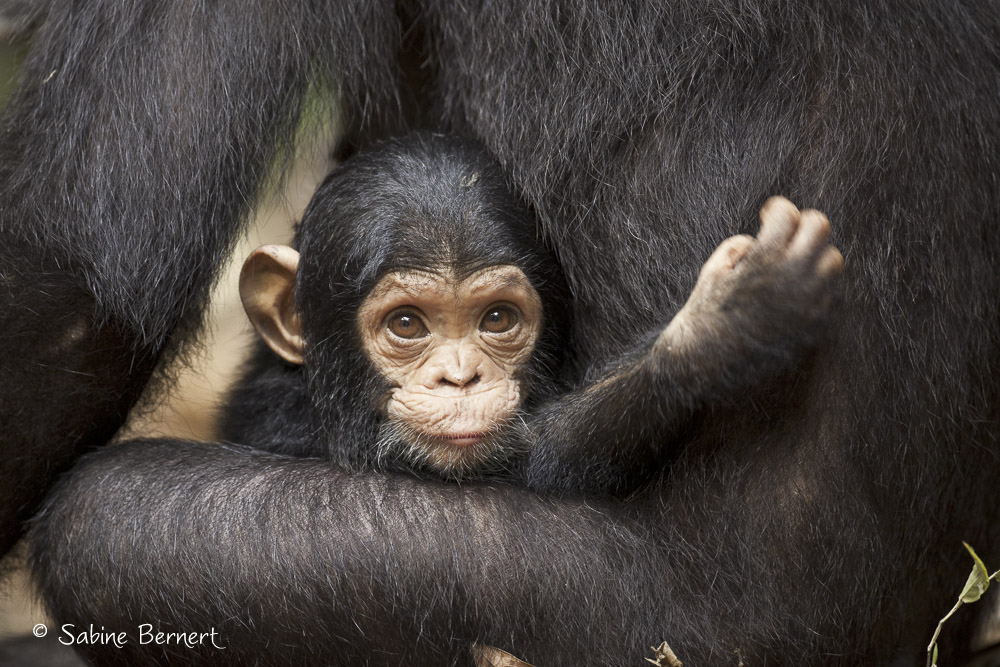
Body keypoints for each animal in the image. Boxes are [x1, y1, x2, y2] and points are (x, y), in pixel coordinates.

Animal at [223, 132, 840, 496]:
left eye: (497, 319)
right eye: (406, 324)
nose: (460, 378)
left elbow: (538, 448)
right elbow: (537, 461)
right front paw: (729, 323)